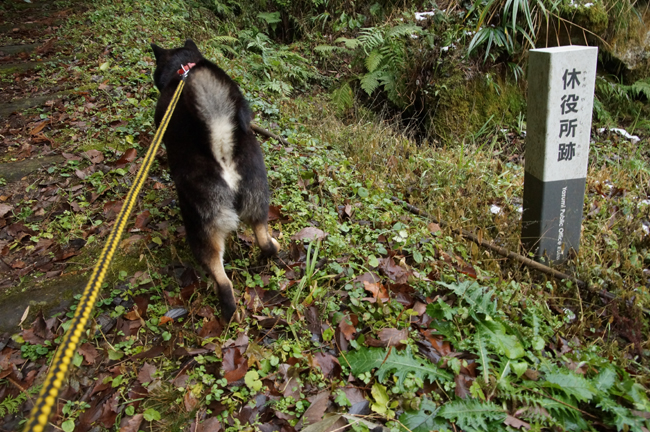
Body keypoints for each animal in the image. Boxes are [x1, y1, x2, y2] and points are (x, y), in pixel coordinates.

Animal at [151, 39, 280, 320]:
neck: (183, 67)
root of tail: (221, 147)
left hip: (200, 225)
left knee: (223, 281)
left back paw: (228, 311)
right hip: (257, 197)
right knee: (265, 241)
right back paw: (273, 248)